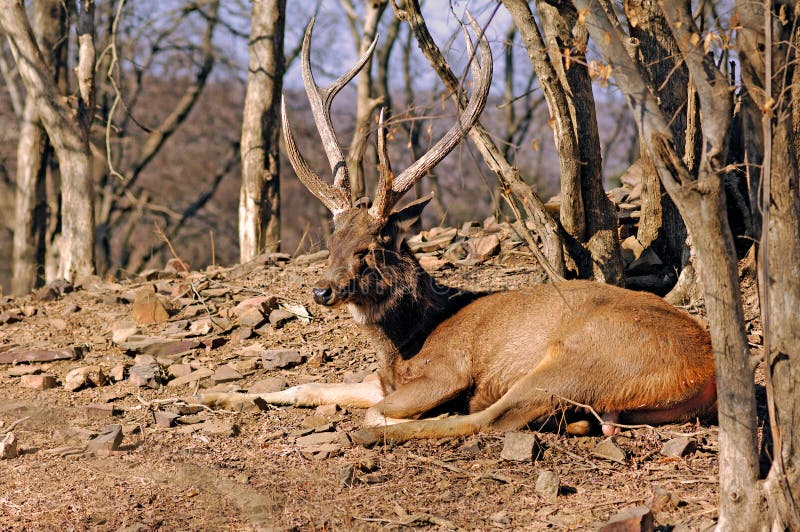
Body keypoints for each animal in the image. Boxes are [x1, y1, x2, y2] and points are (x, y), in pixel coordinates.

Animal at [195, 18, 720, 446]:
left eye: (372, 247)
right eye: (331, 241)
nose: (322, 291)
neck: (407, 342)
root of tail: (706, 374)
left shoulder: (445, 371)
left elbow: (379, 410)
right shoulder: (381, 379)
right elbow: (308, 386)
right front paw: (220, 397)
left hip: (575, 359)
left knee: (488, 418)